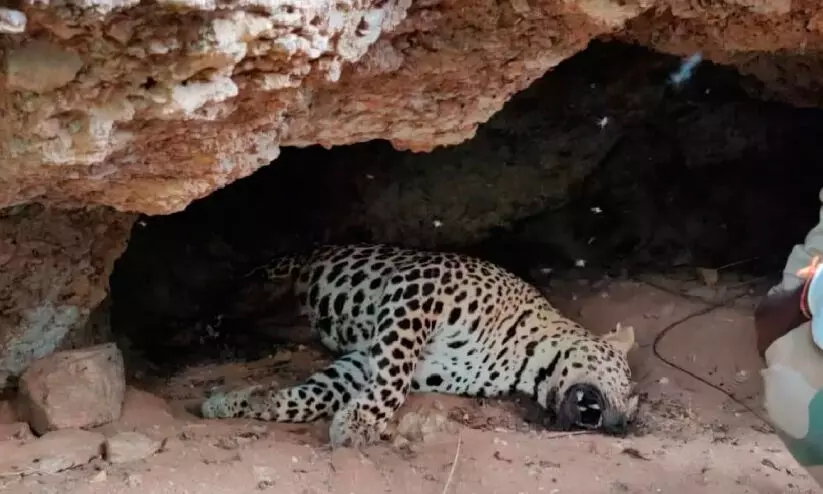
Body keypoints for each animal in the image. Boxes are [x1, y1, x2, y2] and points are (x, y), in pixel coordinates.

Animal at [200, 243, 640, 448]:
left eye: (632, 414)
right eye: (628, 387)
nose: (619, 427)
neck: (523, 359)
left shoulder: (364, 360)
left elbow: (315, 395)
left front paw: (242, 401)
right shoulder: (418, 289)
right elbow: (392, 387)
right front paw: (357, 425)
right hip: (277, 275)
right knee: (236, 299)